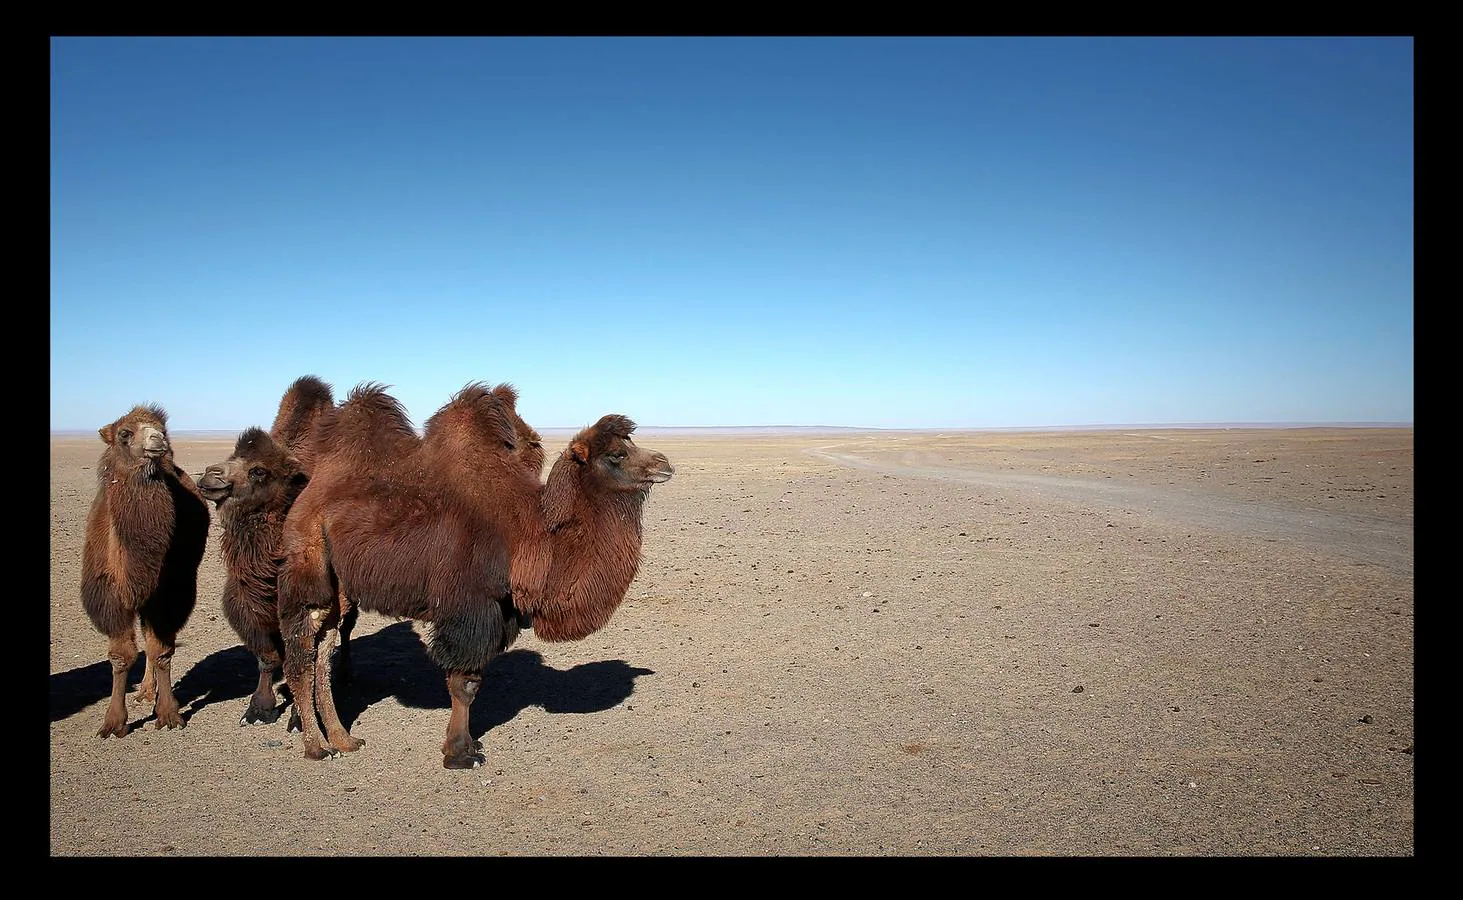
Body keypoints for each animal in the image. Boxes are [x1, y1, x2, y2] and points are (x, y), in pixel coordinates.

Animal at [79, 406, 212, 740]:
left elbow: (161, 650)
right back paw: (144, 692)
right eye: (124, 433)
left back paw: (151, 693)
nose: (157, 440)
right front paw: (114, 722)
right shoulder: (110, 596)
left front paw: (168, 713)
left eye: (161, 430)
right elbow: (121, 655)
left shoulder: (169, 593)